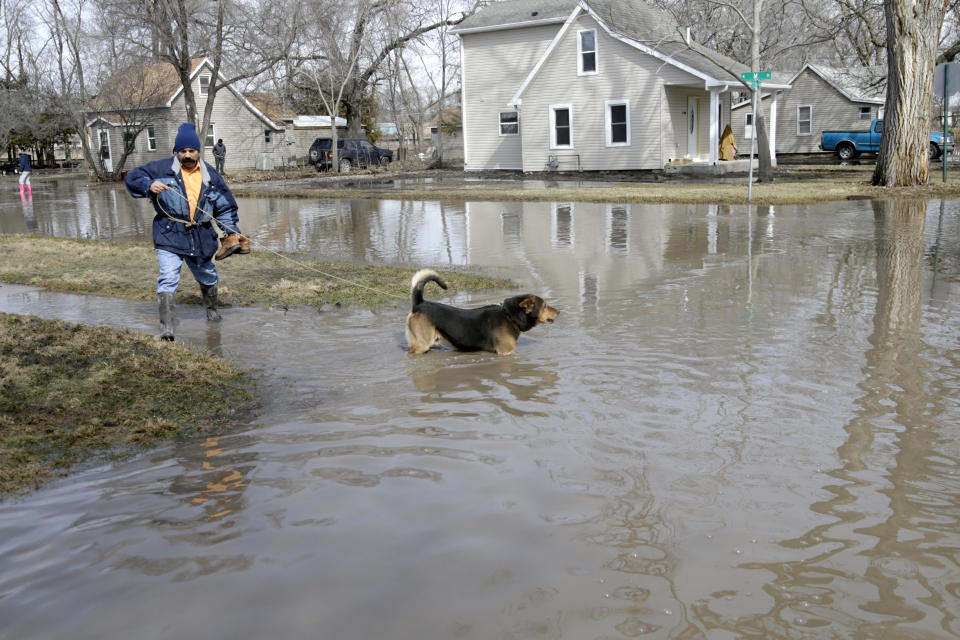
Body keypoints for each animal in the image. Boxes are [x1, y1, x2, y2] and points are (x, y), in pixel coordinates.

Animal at [404, 268, 556, 358]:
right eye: (545, 306)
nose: (559, 312)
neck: (509, 316)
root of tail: (420, 303)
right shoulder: (506, 352)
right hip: (421, 345)